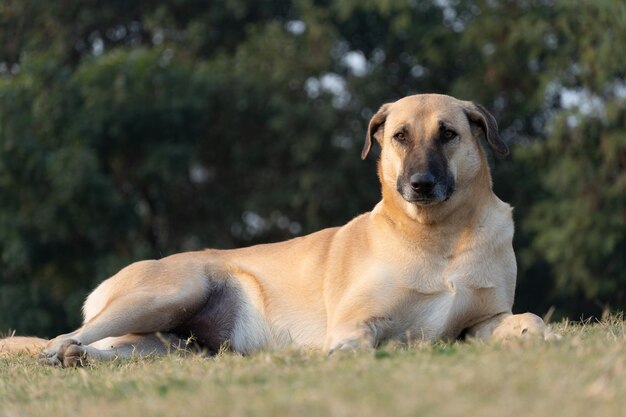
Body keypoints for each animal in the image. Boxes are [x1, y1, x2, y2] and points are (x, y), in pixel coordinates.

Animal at [1, 93, 556, 364]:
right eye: (400, 136)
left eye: (448, 134)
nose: (420, 185)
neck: (438, 238)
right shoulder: (357, 321)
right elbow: (368, 339)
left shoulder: (479, 322)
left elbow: (527, 318)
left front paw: (542, 334)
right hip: (171, 291)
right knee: (64, 335)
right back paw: (60, 352)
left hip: (166, 346)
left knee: (113, 352)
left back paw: (80, 359)